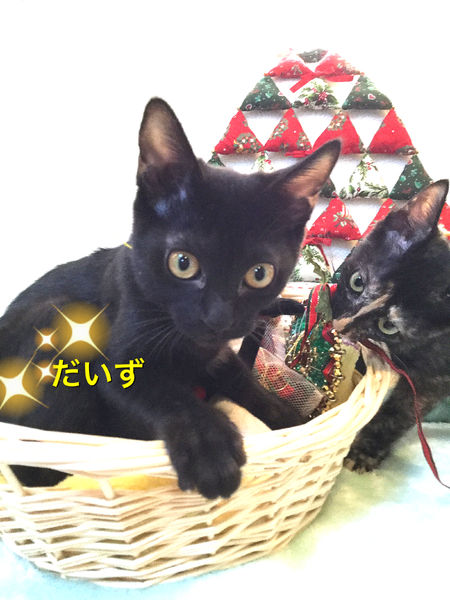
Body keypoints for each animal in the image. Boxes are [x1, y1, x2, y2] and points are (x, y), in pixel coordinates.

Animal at [0, 98, 340, 498]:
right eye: (182, 263)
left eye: (260, 273)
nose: (218, 318)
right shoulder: (113, 363)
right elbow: (165, 393)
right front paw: (210, 446)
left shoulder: (218, 354)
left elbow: (244, 380)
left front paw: (292, 420)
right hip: (55, 320)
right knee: (43, 471)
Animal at [331, 179, 450, 472]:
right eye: (357, 281)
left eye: (388, 326)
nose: (340, 325)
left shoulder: (437, 375)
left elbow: (400, 412)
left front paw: (364, 450)